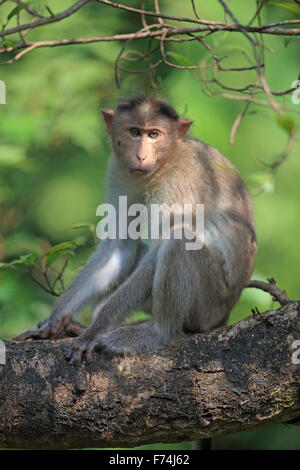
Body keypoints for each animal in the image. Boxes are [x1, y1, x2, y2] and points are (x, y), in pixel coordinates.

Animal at [14, 92, 256, 364]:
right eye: (134, 132)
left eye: (154, 134)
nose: (141, 155)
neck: (165, 161)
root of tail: (226, 313)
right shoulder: (117, 170)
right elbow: (120, 245)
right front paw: (56, 319)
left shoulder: (178, 183)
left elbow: (160, 248)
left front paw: (95, 329)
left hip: (210, 304)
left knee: (178, 241)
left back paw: (158, 333)